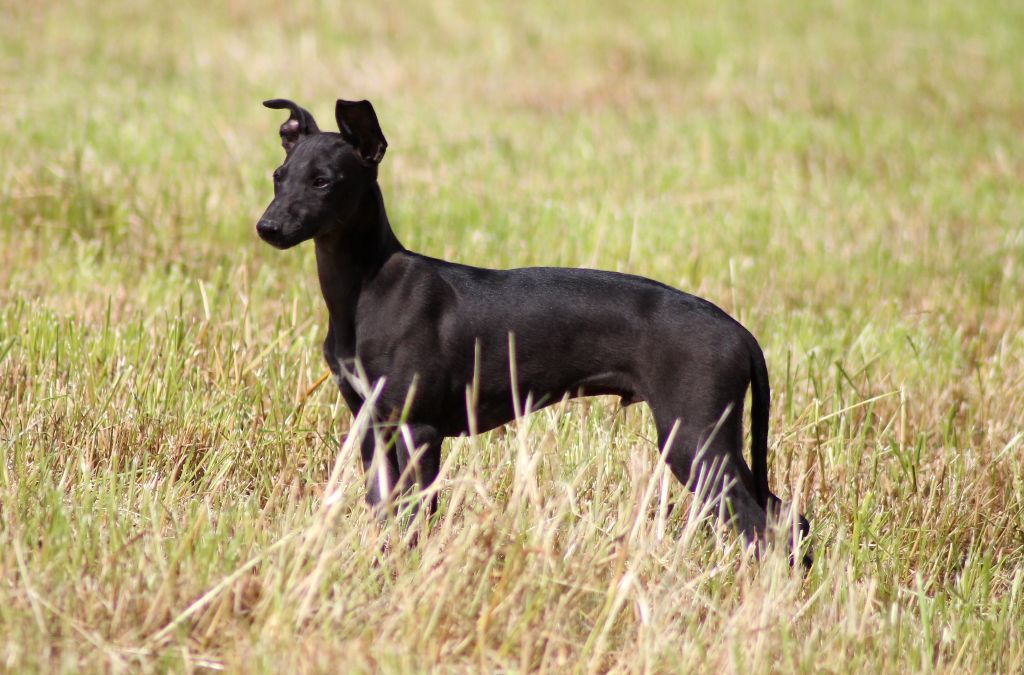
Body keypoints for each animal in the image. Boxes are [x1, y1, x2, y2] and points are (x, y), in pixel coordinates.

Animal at [256, 97, 806, 561]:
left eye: (323, 181)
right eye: (279, 176)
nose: (267, 228)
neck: (368, 286)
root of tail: (740, 333)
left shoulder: (419, 429)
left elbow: (414, 516)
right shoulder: (373, 426)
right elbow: (385, 511)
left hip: (694, 439)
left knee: (764, 527)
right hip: (718, 440)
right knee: (787, 518)